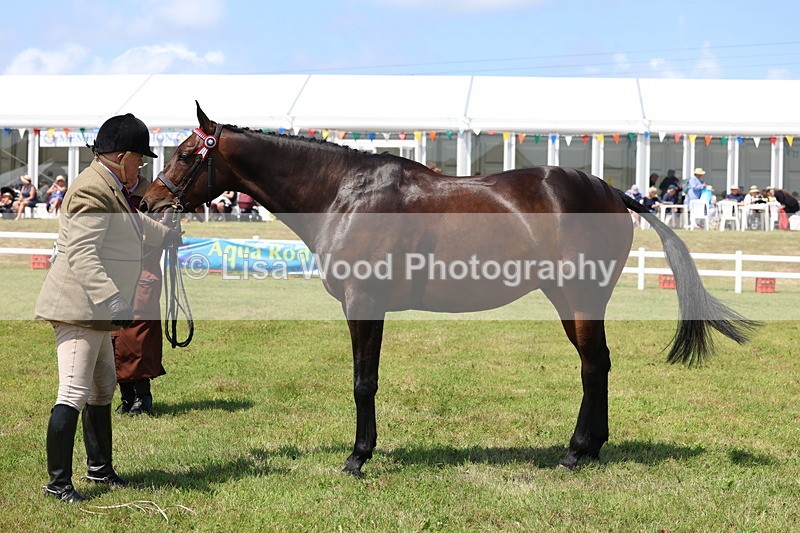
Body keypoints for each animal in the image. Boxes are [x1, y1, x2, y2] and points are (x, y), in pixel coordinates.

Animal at [141, 103, 756, 473]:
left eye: (185, 153)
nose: (149, 200)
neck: (345, 192)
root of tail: (610, 191)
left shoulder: (365, 303)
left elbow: (364, 382)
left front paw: (357, 457)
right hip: (567, 298)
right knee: (596, 363)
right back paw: (590, 447)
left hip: (580, 297)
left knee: (593, 365)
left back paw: (576, 452)